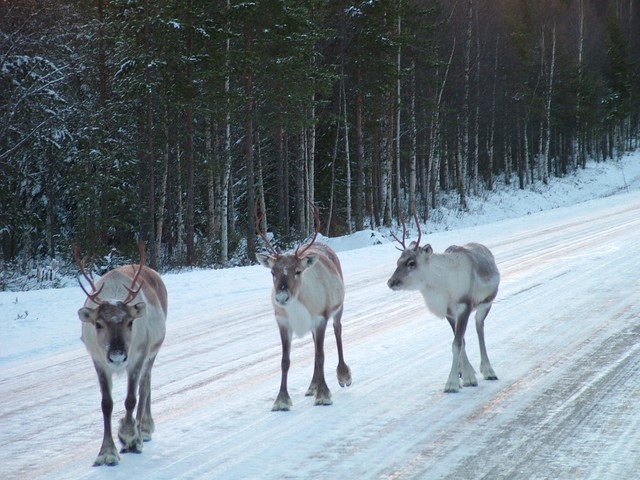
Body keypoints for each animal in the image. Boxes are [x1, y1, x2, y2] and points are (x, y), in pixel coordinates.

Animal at [73, 243, 167, 466]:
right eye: (98, 324)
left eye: (130, 322)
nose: (117, 355)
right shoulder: (98, 360)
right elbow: (106, 404)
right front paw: (106, 452)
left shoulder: (137, 356)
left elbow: (131, 399)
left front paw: (129, 436)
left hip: (152, 350)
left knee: (145, 386)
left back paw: (143, 430)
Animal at [255, 204, 352, 411]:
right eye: (272, 272)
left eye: (298, 271)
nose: (281, 297)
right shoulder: (283, 322)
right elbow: (285, 361)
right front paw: (281, 400)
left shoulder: (321, 318)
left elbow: (321, 355)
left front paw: (324, 395)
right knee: (315, 346)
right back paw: (312, 386)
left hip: (338, 308)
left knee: (338, 331)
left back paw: (343, 375)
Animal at [386, 214, 500, 393]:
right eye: (398, 261)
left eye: (411, 263)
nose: (391, 282)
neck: (442, 286)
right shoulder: (449, 312)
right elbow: (461, 342)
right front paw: (466, 375)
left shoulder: (464, 307)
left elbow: (456, 344)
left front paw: (453, 383)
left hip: (486, 305)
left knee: (479, 327)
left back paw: (488, 370)